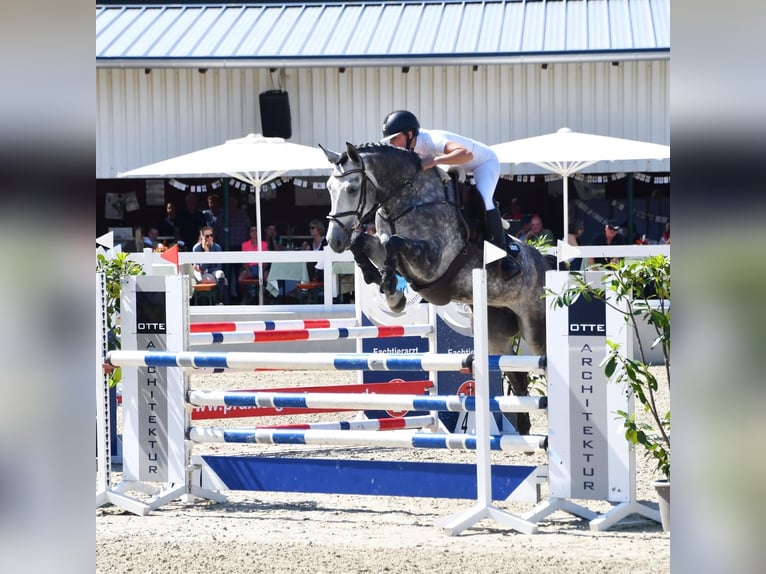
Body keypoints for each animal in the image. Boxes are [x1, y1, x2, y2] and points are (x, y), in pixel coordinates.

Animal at [322, 144, 552, 436]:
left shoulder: (432, 261)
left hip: (535, 327)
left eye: (352, 189)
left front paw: (391, 291)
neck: (407, 201)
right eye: (329, 188)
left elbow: (395, 242)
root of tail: (545, 261)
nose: (334, 241)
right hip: (496, 333)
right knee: (516, 375)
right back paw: (523, 430)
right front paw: (381, 282)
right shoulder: (383, 245)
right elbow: (365, 240)